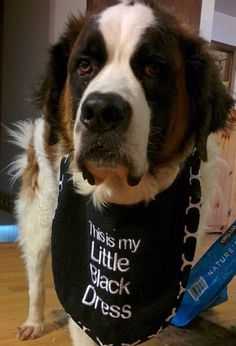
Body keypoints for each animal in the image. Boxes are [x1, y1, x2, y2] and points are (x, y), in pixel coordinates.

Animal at [9, 0, 234, 346]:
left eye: (153, 68)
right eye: (84, 66)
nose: (101, 111)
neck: (121, 201)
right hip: (41, 217)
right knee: (35, 275)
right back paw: (34, 321)